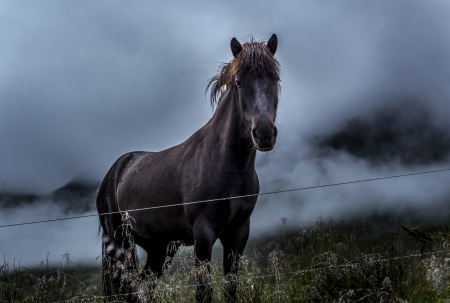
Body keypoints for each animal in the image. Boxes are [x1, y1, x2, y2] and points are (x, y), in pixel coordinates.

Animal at [97, 34, 282, 302]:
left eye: (275, 79)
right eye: (238, 82)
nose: (265, 133)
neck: (226, 166)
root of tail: (115, 170)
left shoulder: (238, 232)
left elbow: (231, 287)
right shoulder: (203, 234)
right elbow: (203, 291)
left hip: (160, 248)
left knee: (142, 287)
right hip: (119, 243)